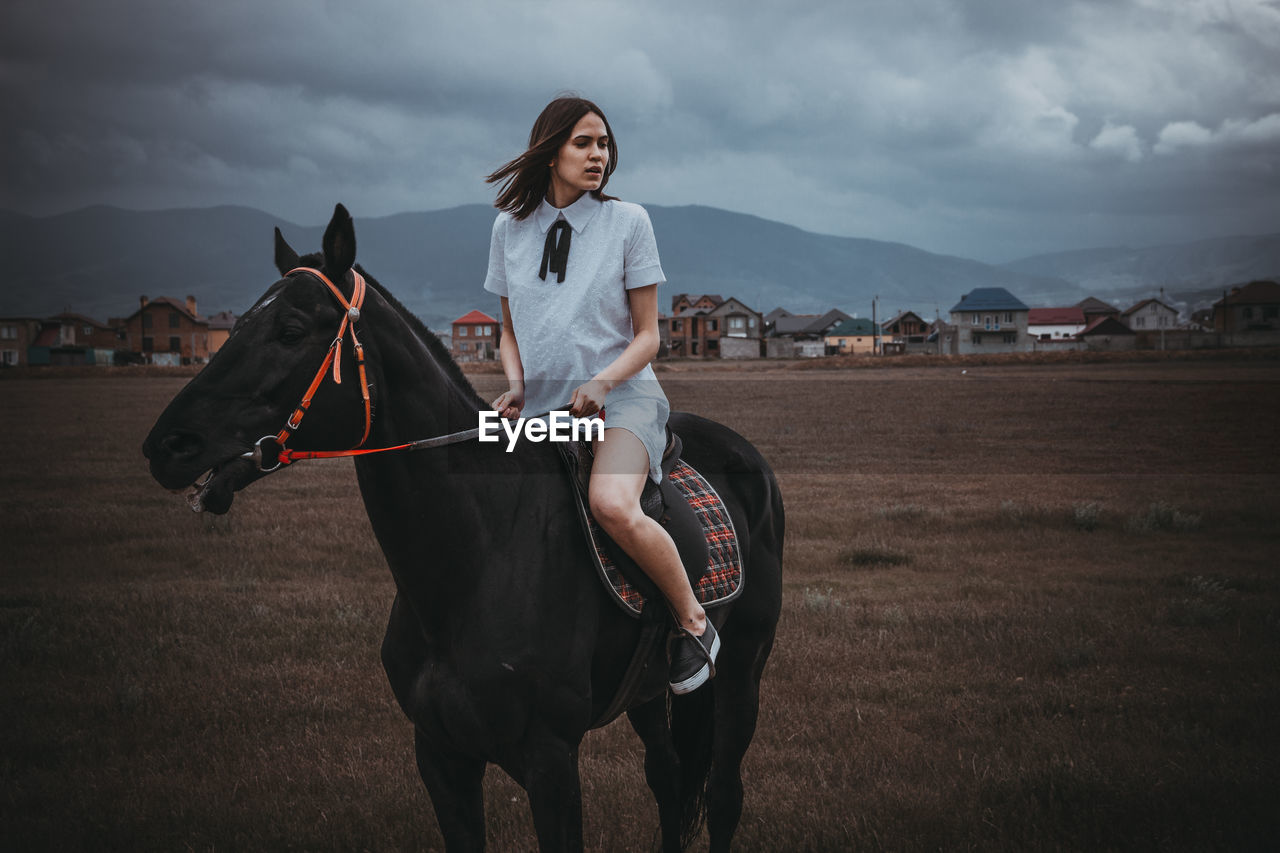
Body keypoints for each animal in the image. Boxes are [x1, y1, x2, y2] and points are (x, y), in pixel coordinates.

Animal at [140, 206, 778, 850]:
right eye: (239, 325)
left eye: (290, 330)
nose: (167, 445)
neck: (479, 559)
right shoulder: (441, 757)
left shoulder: (551, 762)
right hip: (647, 694)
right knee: (668, 780)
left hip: (742, 670)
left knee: (724, 793)